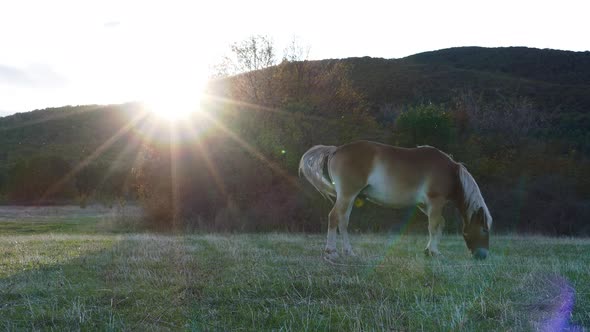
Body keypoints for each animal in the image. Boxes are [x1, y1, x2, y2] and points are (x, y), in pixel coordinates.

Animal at [300, 139, 494, 260]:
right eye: (484, 229)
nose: (483, 255)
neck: (451, 172)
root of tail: (336, 150)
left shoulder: (425, 205)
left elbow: (440, 225)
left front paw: (429, 250)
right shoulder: (435, 201)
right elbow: (434, 226)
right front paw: (434, 252)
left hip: (349, 197)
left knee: (343, 221)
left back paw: (349, 252)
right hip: (347, 195)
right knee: (334, 217)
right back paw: (331, 251)